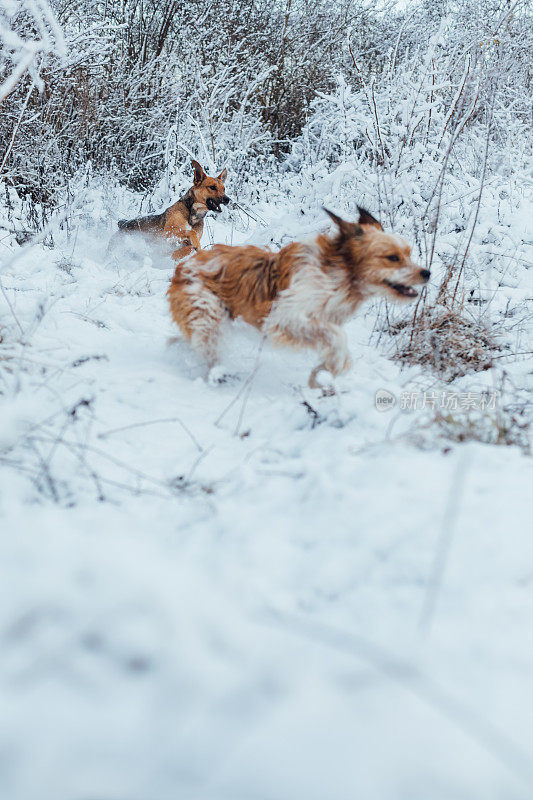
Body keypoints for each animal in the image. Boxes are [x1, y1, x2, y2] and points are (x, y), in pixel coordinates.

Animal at [166, 206, 428, 388]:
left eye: (408, 253)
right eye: (392, 257)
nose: (427, 273)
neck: (336, 274)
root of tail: (182, 267)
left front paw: (324, 371)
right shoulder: (285, 319)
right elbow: (337, 337)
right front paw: (331, 367)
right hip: (207, 314)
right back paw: (217, 374)